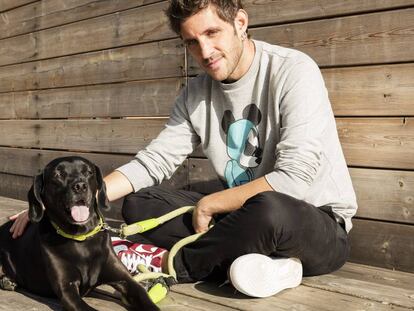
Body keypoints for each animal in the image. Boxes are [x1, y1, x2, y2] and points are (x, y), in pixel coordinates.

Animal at [0, 157, 158, 311]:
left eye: (89, 172)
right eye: (58, 174)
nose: (80, 186)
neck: (81, 238)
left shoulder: (126, 281)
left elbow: (145, 297)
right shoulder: (67, 290)